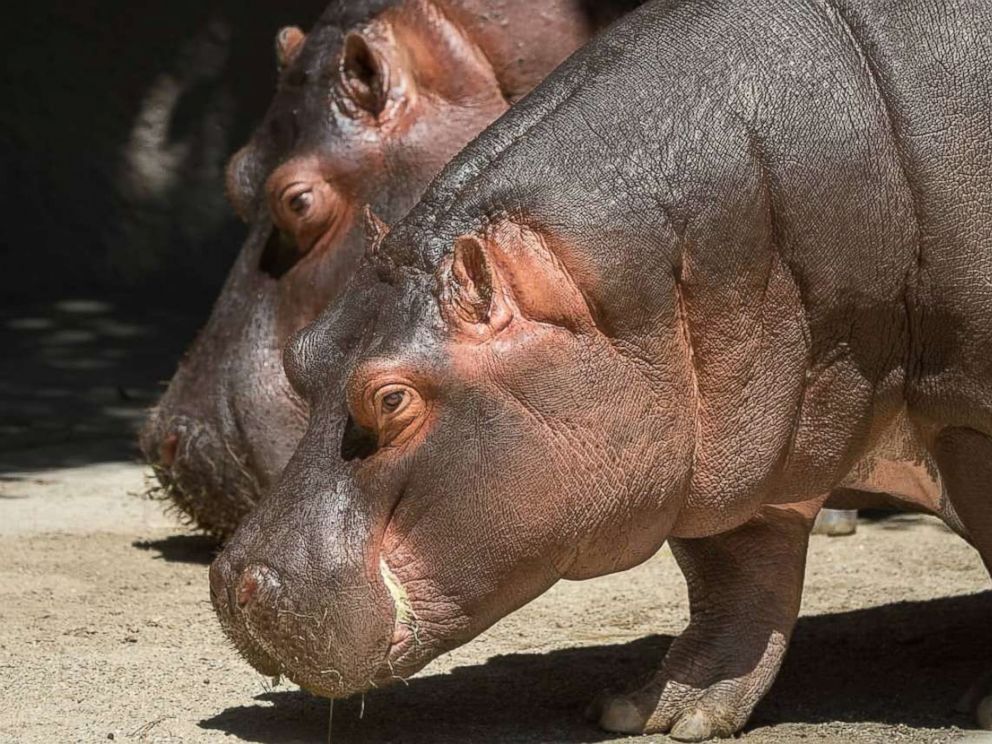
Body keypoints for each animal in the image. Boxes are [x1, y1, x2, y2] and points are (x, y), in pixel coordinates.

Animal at [209, 0, 992, 740]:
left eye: (392, 399)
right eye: (303, 353)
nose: (231, 584)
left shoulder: (961, 416)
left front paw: (983, 708)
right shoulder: (733, 433)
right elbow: (735, 576)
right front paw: (662, 712)